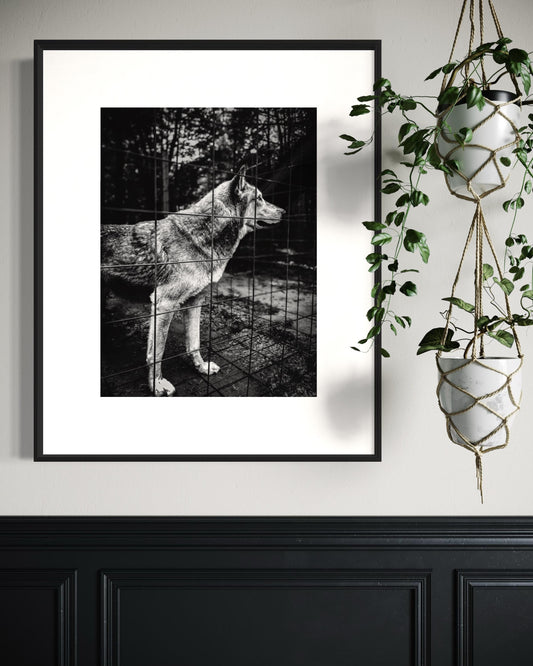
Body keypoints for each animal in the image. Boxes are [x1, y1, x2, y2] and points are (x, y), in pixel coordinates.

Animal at [101, 167, 285, 396]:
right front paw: (157, 385)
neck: (202, 237)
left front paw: (201, 367)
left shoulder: (195, 302)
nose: (283, 211)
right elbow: (157, 353)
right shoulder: (164, 305)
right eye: (259, 198)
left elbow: (194, 343)